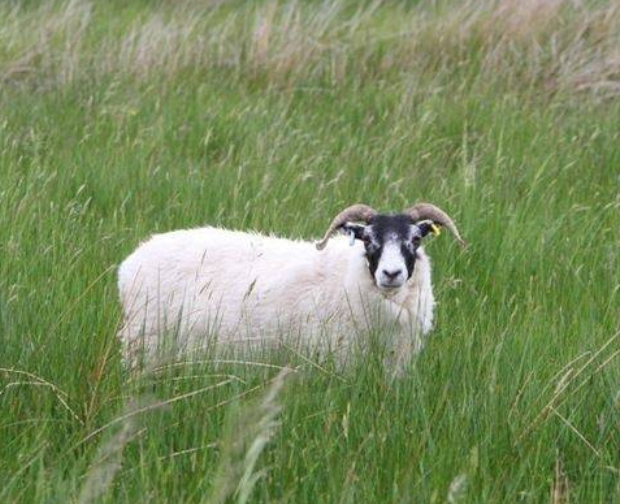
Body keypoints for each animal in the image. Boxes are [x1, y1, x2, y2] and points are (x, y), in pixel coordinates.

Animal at [117, 202, 464, 370]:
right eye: (367, 239)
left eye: (415, 239)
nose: (391, 273)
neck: (347, 277)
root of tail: (131, 261)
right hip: (143, 344)